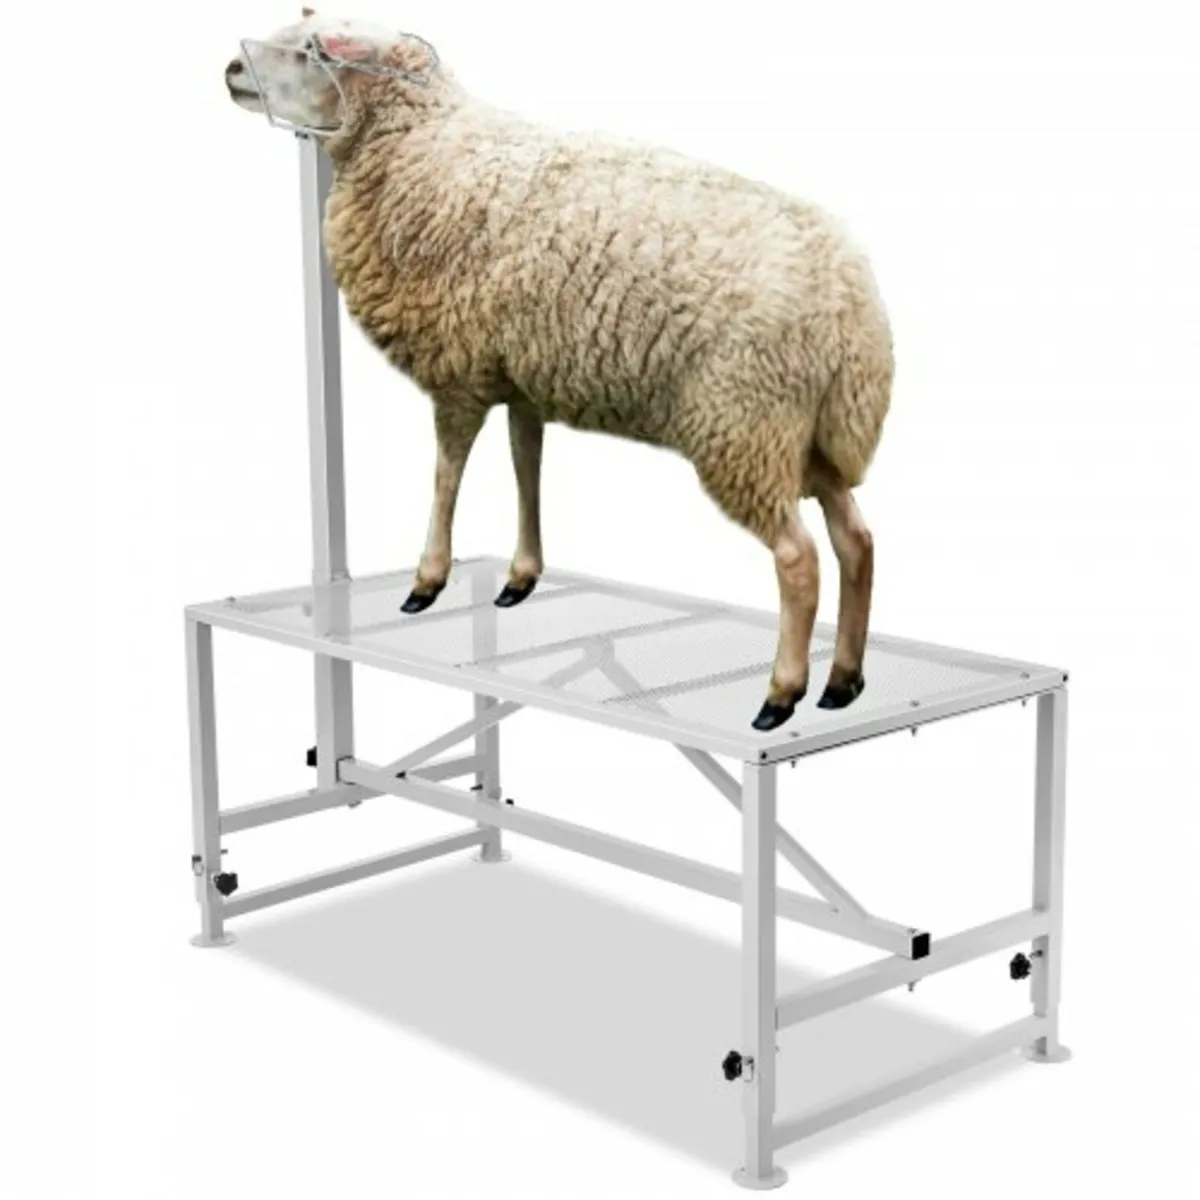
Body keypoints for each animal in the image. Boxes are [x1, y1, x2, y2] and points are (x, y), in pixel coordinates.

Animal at [225, 12, 894, 732]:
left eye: (311, 52)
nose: (231, 70)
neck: (422, 149)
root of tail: (852, 304)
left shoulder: (457, 369)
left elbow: (446, 474)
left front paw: (427, 579)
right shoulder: (522, 374)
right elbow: (527, 465)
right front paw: (521, 575)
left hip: (744, 424)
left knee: (799, 559)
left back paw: (782, 693)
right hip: (808, 435)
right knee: (856, 540)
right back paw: (843, 680)